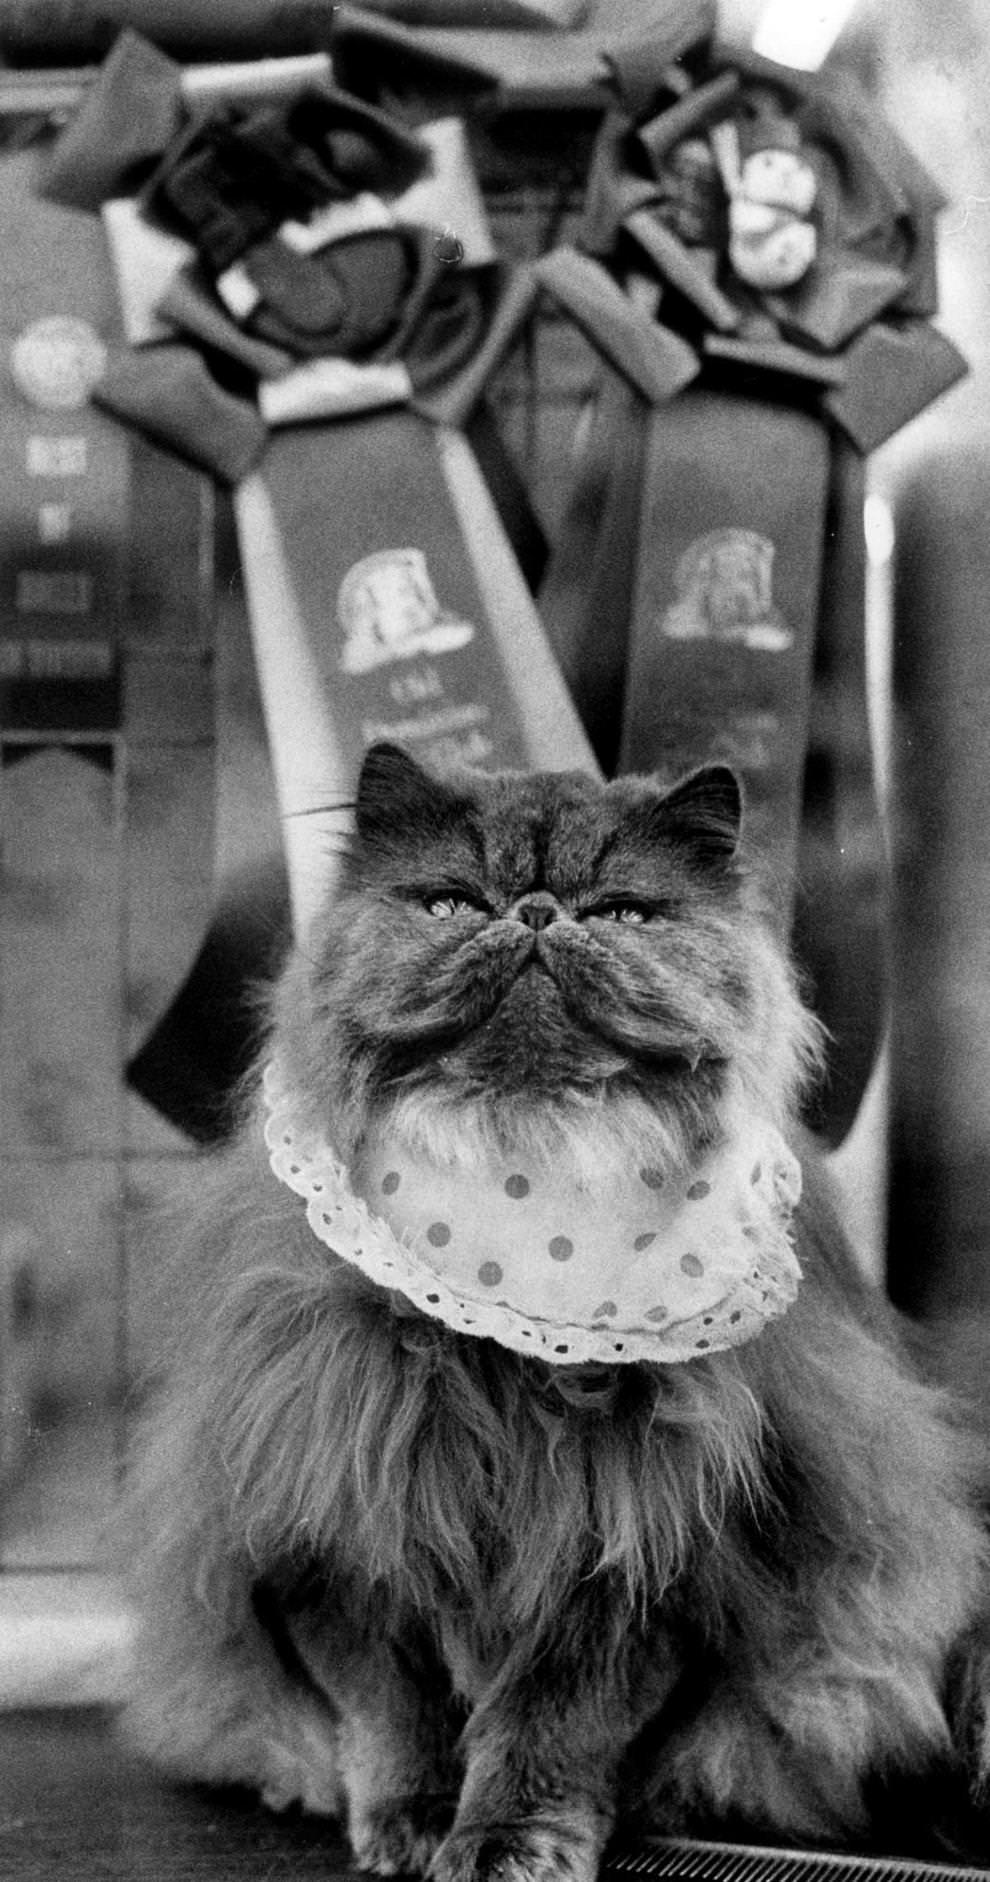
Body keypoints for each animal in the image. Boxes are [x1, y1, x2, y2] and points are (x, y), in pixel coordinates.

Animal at [124, 741, 990, 1874]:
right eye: (453, 903)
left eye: (621, 912)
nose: (535, 913)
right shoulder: (344, 1532)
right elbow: (395, 1713)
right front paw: (412, 1823)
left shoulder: (638, 1562)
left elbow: (551, 1727)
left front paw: (506, 1840)